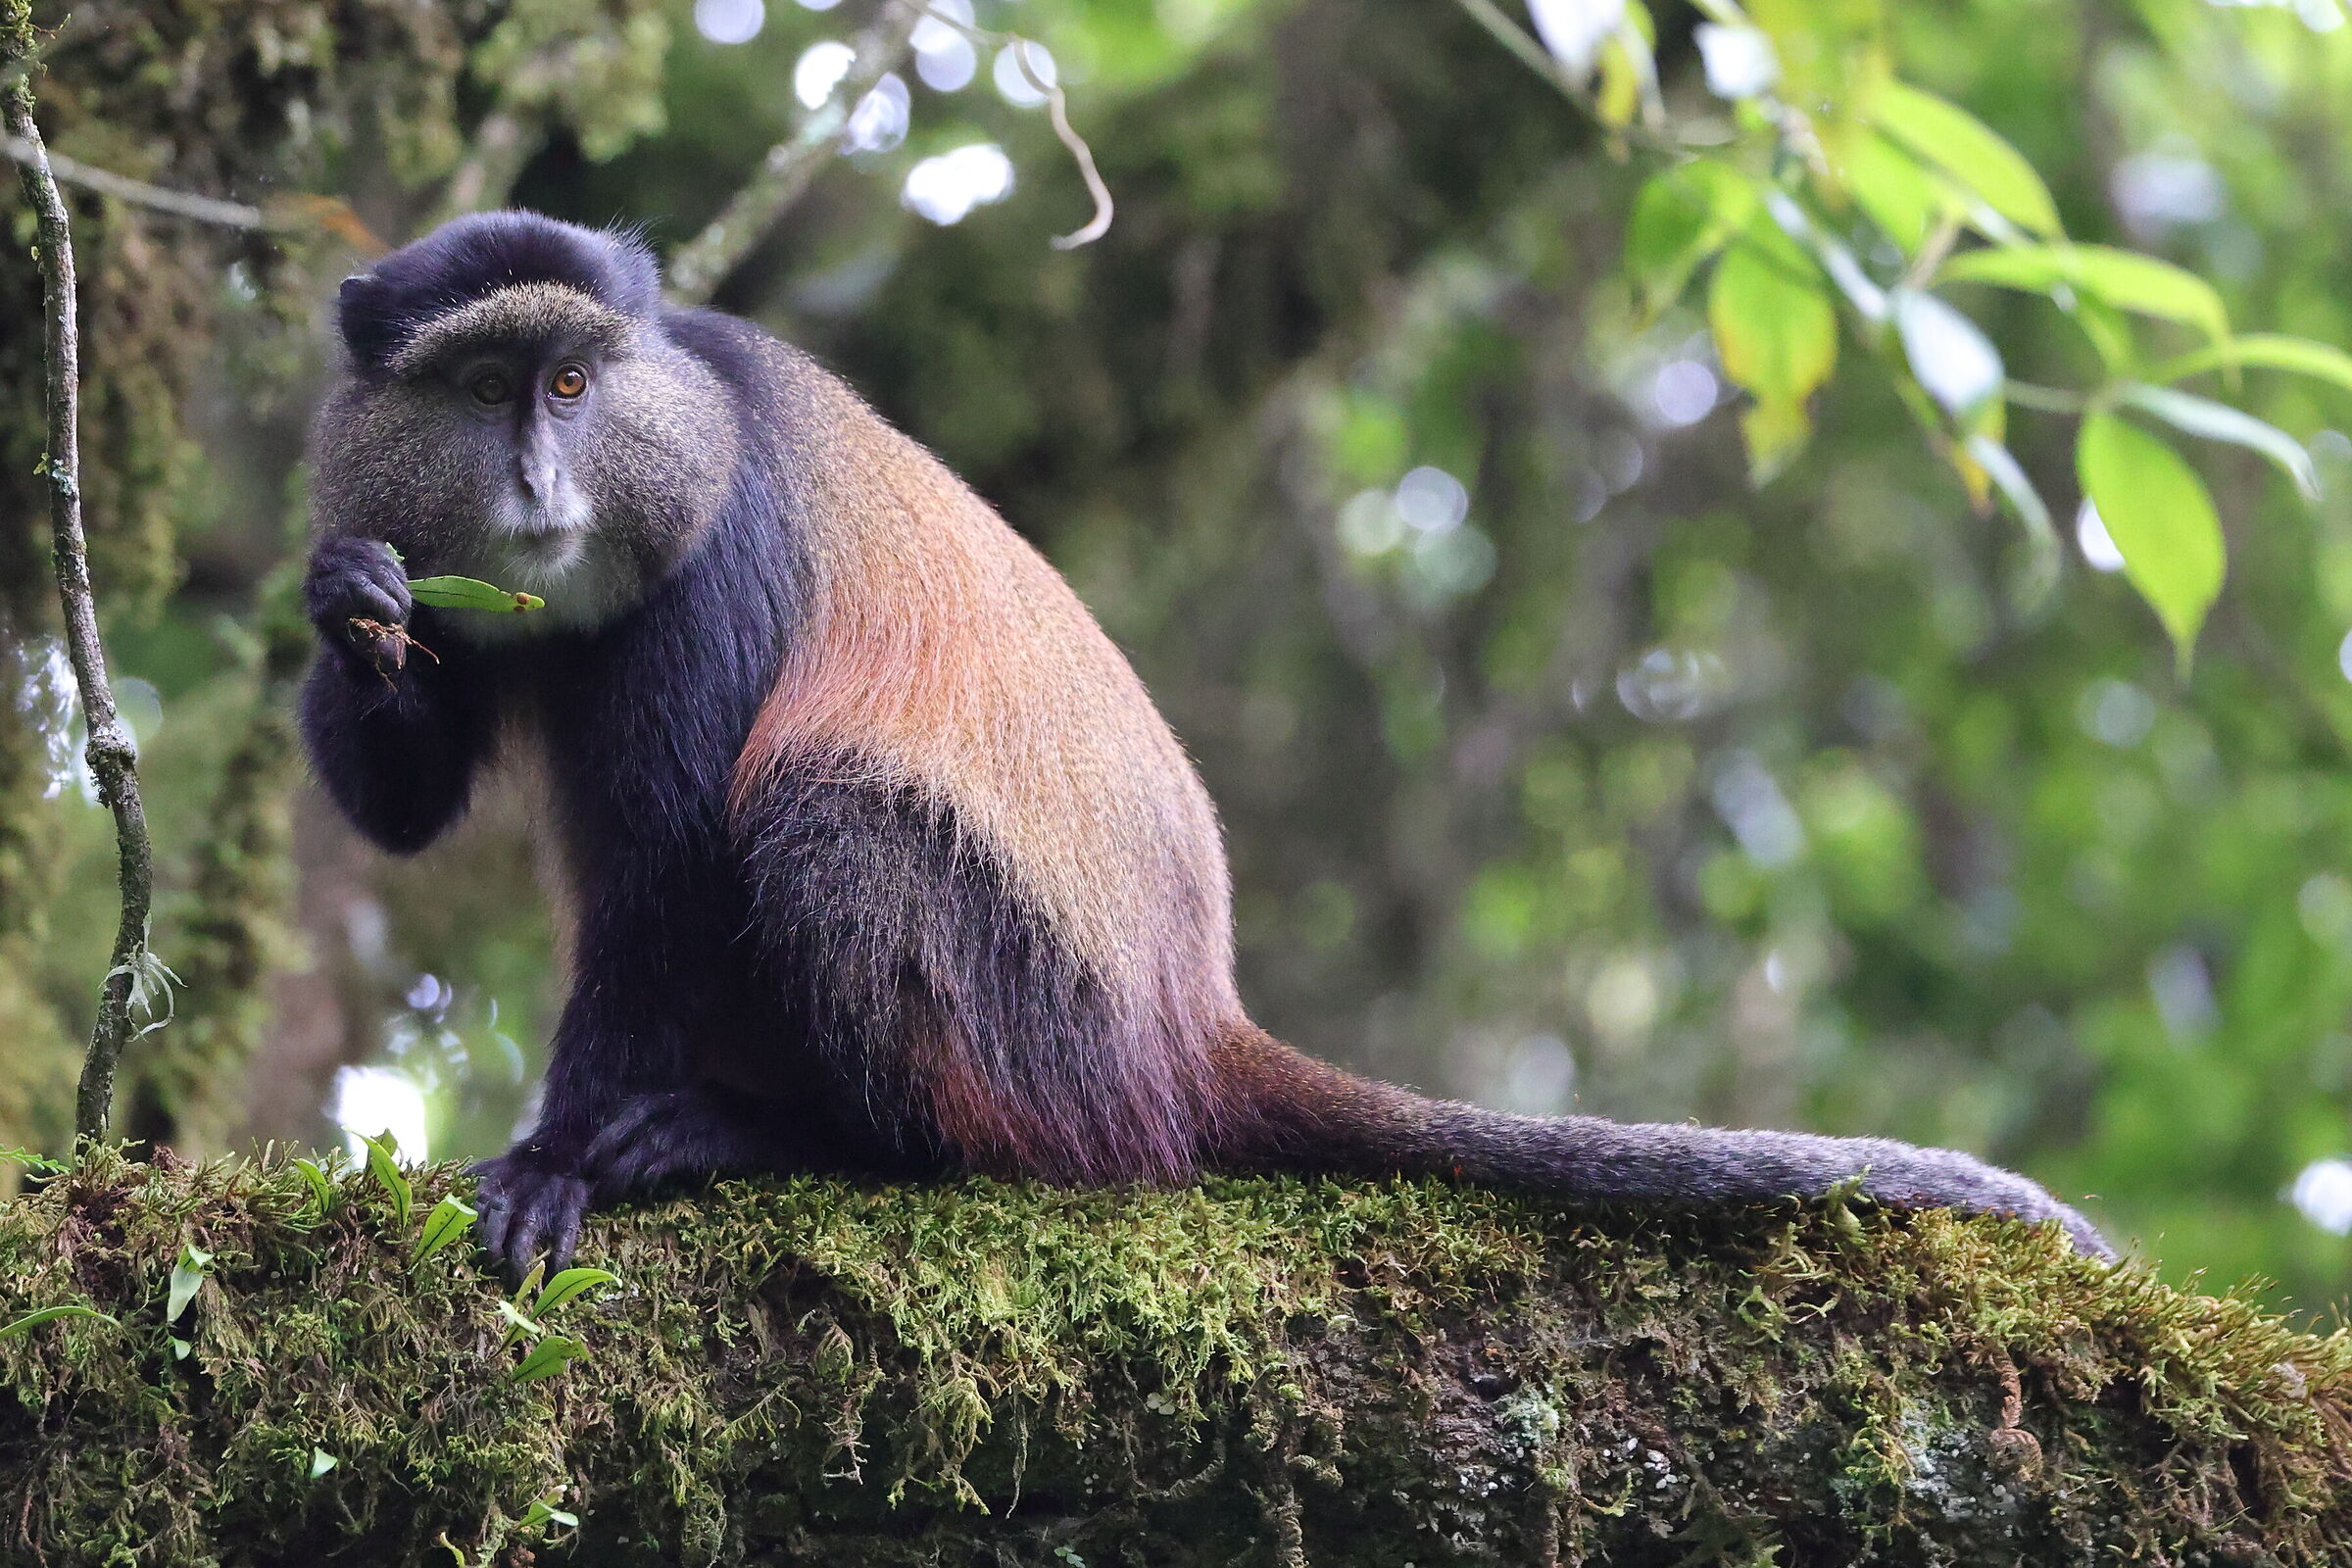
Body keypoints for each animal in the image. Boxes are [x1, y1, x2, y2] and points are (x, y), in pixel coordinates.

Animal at [298, 211, 2111, 1274]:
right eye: (484, 390)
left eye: (574, 383)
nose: (539, 486)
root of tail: (1192, 1028)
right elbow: (404, 812)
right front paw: (346, 608)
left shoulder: (714, 558)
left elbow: (666, 869)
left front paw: (553, 1166)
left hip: (1038, 1023)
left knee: (824, 824)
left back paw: (797, 1141)